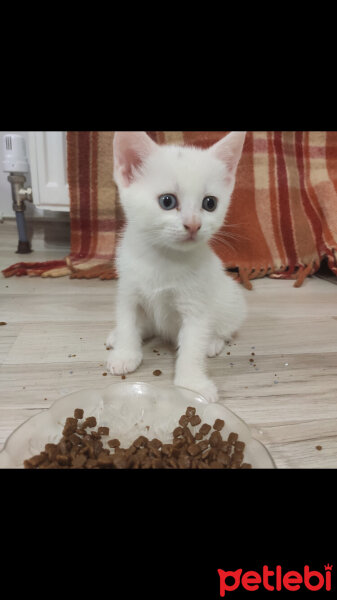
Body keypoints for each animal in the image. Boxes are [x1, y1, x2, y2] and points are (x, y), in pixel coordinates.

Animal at [107, 132, 247, 404]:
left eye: (210, 203)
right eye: (167, 201)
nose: (193, 225)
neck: (163, 258)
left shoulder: (196, 306)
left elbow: (193, 345)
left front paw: (193, 384)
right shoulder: (128, 291)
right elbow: (128, 320)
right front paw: (125, 353)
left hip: (232, 302)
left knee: (227, 327)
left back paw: (213, 342)